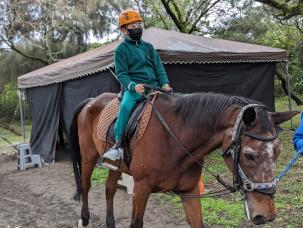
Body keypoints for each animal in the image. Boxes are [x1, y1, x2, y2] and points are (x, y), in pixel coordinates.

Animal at [69, 91, 300, 228]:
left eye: (278, 151)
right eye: (249, 155)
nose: (266, 214)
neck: (175, 138)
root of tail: (91, 101)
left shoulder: (190, 192)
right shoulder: (141, 189)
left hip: (116, 166)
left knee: (109, 188)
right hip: (89, 157)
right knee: (86, 185)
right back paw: (84, 219)